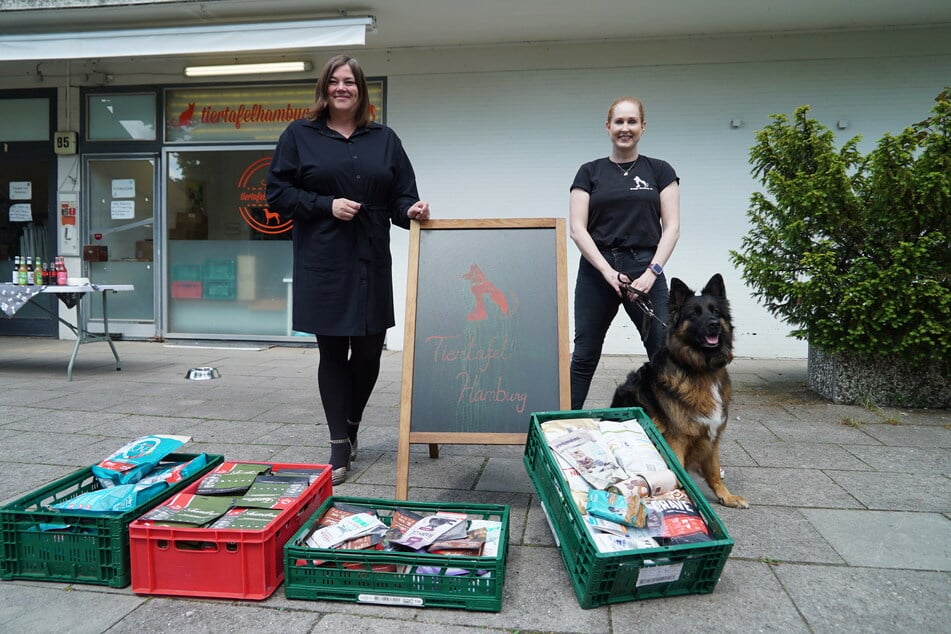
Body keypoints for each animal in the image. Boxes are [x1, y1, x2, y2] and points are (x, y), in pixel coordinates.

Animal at [608, 274, 752, 506]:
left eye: (716, 312)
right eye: (694, 314)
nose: (714, 325)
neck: (702, 370)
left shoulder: (712, 435)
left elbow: (713, 471)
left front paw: (726, 496)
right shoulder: (676, 439)